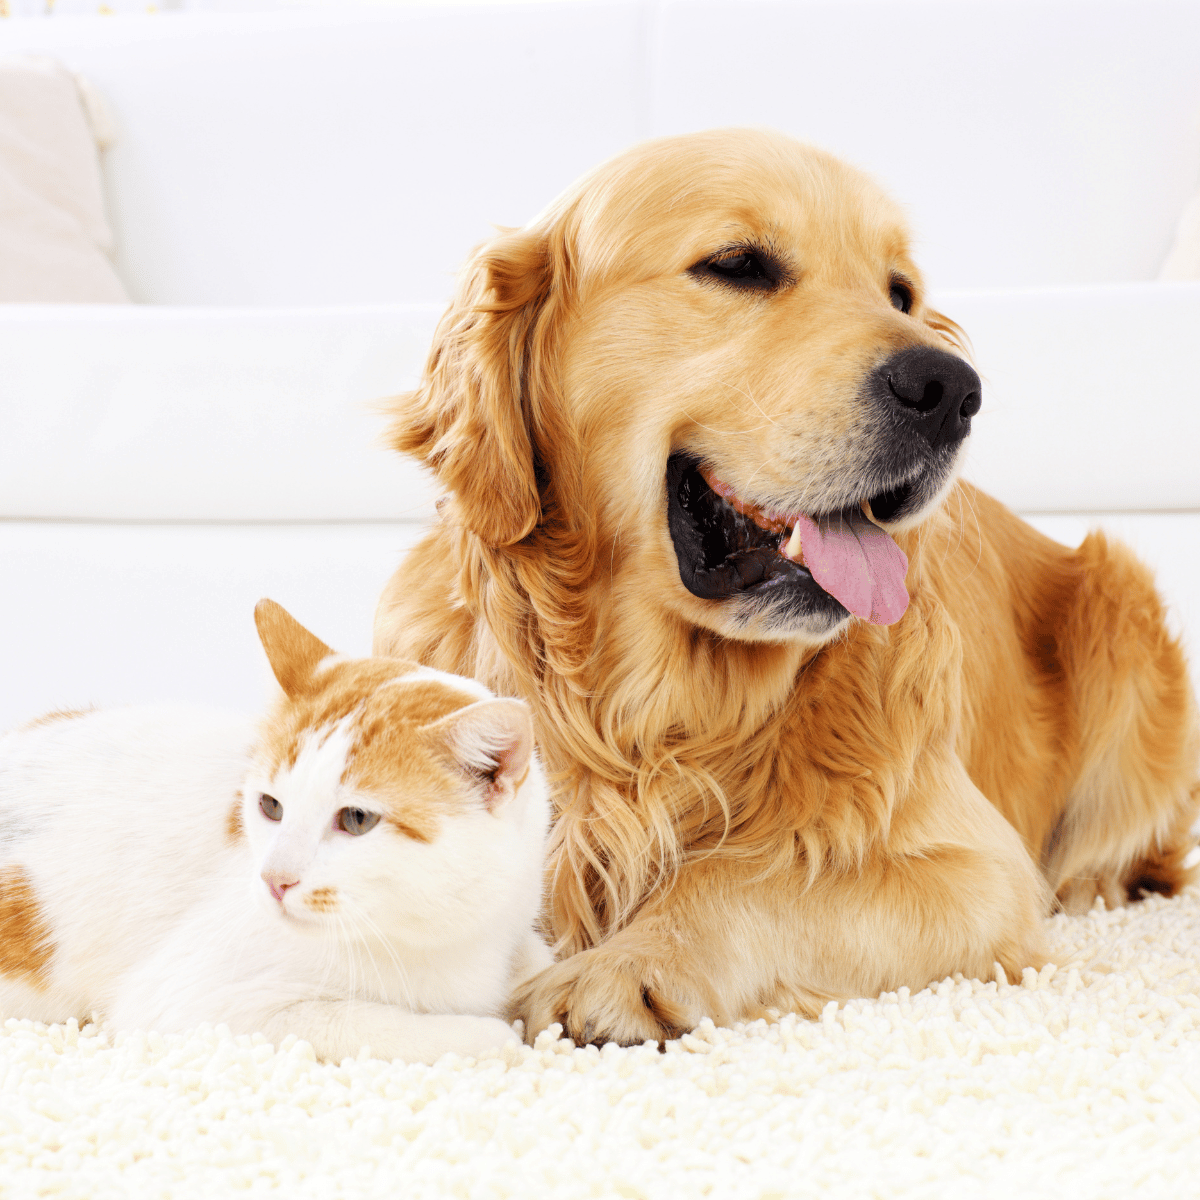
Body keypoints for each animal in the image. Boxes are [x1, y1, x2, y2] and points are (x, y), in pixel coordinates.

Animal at [0, 597, 549, 1060]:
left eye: (356, 820)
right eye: (270, 806)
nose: (273, 880)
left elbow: (540, 957)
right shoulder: (191, 1001)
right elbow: (374, 1024)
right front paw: (495, 1030)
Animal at [369, 129, 1195, 1041]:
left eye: (900, 293)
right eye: (738, 265)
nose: (952, 389)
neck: (658, 714)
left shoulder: (976, 868)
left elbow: (746, 875)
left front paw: (626, 967)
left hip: (1119, 604)